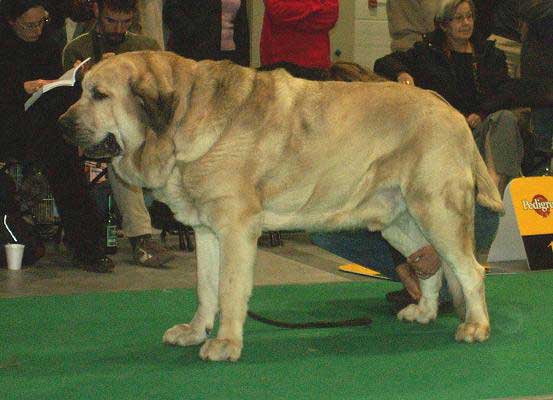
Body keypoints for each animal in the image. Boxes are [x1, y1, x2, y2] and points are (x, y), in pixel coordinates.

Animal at [60, 50, 504, 362]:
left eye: (99, 95)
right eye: (81, 90)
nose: (62, 124)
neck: (181, 117)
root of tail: (450, 109)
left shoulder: (236, 229)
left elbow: (229, 288)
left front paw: (225, 342)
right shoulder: (206, 232)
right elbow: (206, 288)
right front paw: (196, 331)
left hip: (437, 210)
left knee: (470, 270)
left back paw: (476, 326)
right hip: (397, 219)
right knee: (429, 263)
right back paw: (424, 312)